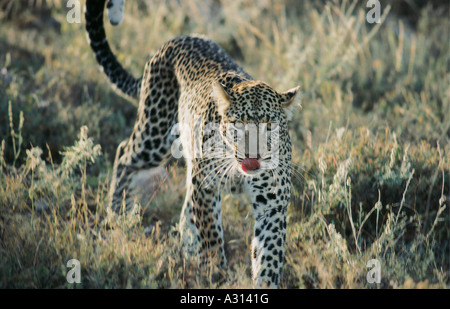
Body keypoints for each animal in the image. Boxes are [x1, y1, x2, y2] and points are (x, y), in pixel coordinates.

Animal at [84, 0, 302, 286]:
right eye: (239, 124)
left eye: (268, 126)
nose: (251, 158)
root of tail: (173, 41)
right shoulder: (206, 187)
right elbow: (211, 235)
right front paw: (217, 274)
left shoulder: (272, 203)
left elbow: (269, 256)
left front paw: (263, 282)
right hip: (155, 135)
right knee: (123, 154)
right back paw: (118, 215)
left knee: (185, 204)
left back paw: (186, 249)